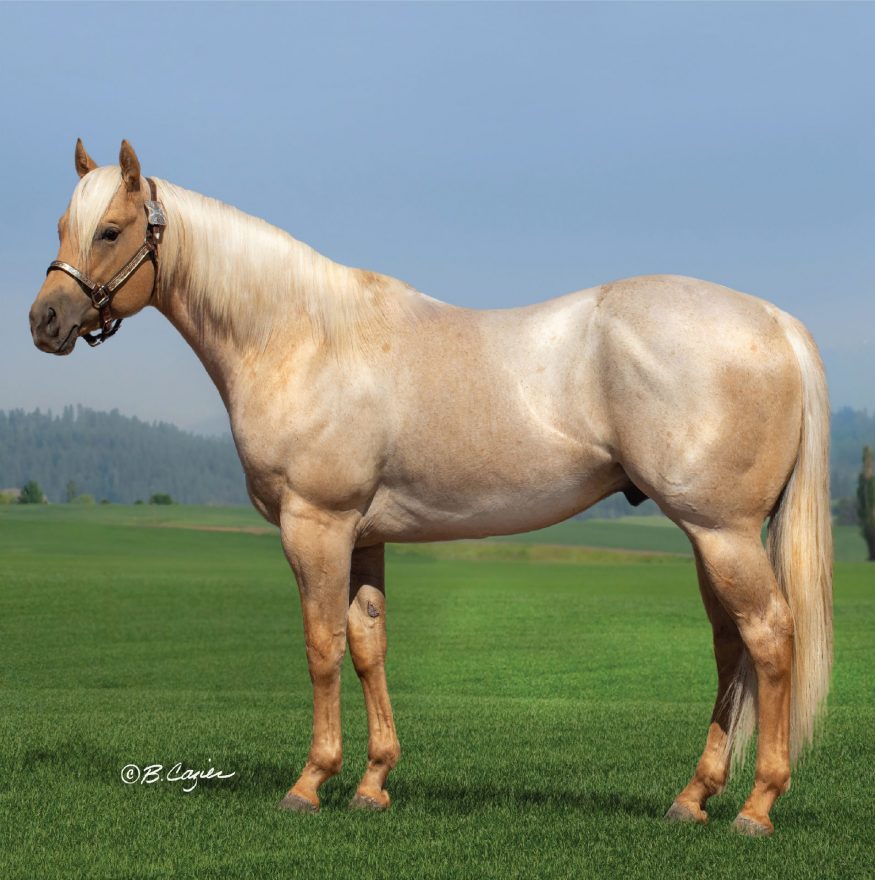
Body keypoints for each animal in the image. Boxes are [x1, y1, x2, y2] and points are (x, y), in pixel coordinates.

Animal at [28, 140, 832, 836]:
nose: (44, 321)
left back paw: (756, 808)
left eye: (110, 230)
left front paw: (309, 782)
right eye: (64, 227)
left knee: (768, 638)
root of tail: (773, 321)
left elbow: (320, 645)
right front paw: (373, 783)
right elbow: (366, 645)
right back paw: (692, 798)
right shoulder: (362, 535)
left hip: (722, 532)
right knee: (730, 648)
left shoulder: (315, 524)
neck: (302, 338)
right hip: (711, 538)